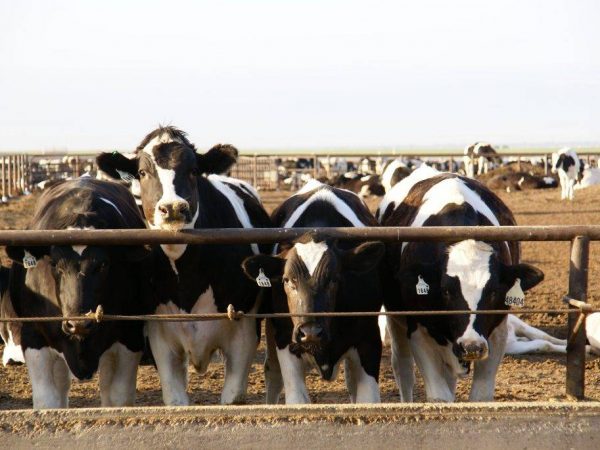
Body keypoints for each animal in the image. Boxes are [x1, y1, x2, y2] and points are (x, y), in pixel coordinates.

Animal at [5, 178, 150, 408]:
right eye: (54, 264)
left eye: (103, 264)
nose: (78, 323)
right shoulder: (34, 338)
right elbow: (48, 402)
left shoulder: (129, 336)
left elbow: (118, 399)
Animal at [96, 125, 272, 404]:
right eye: (142, 172)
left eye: (193, 170)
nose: (173, 208)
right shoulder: (161, 336)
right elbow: (175, 399)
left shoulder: (244, 333)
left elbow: (232, 399)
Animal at [241, 179, 382, 404]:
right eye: (287, 280)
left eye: (334, 279)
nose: (310, 333)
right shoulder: (285, 341)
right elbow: (297, 399)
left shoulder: (369, 338)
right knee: (272, 373)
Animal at [380, 167, 544, 402]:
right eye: (446, 291)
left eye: (493, 292)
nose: (471, 346)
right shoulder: (419, 333)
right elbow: (439, 397)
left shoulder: (497, 333)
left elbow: (480, 396)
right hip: (396, 323)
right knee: (403, 368)